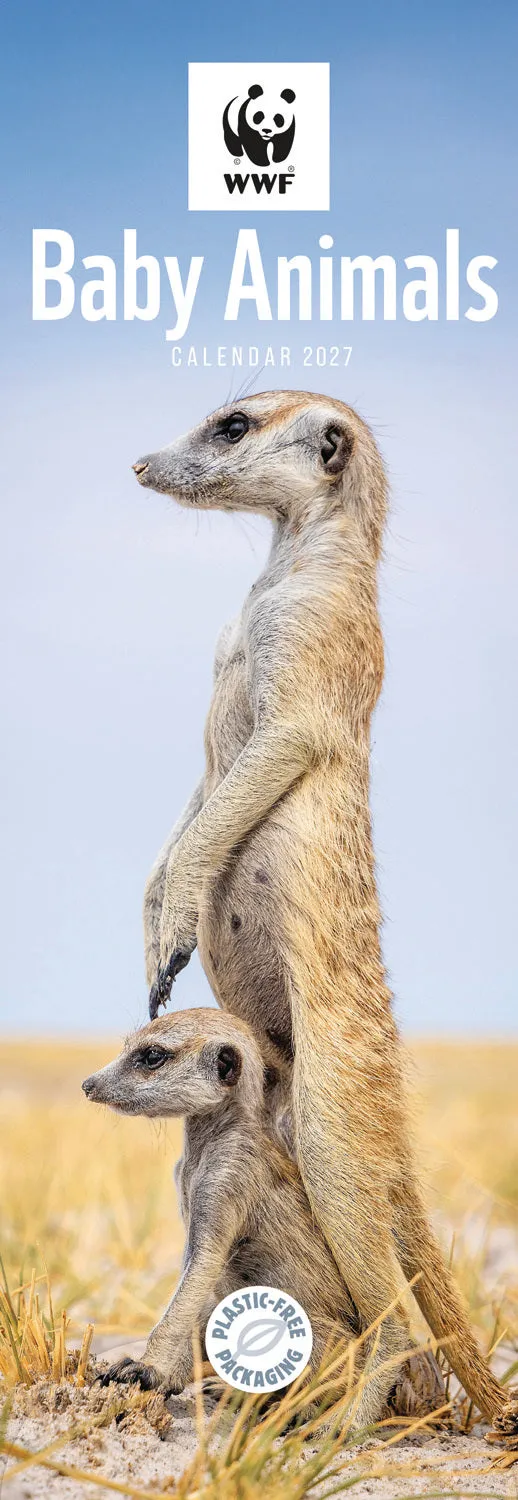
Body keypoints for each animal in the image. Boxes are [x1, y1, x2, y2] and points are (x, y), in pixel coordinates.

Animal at [132, 391, 513, 1429]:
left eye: (232, 424)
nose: (140, 464)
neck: (288, 566)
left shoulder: (313, 641)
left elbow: (270, 750)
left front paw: (178, 908)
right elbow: (197, 793)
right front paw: (152, 905)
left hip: (336, 1105)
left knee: (367, 1251)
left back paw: (353, 1413)